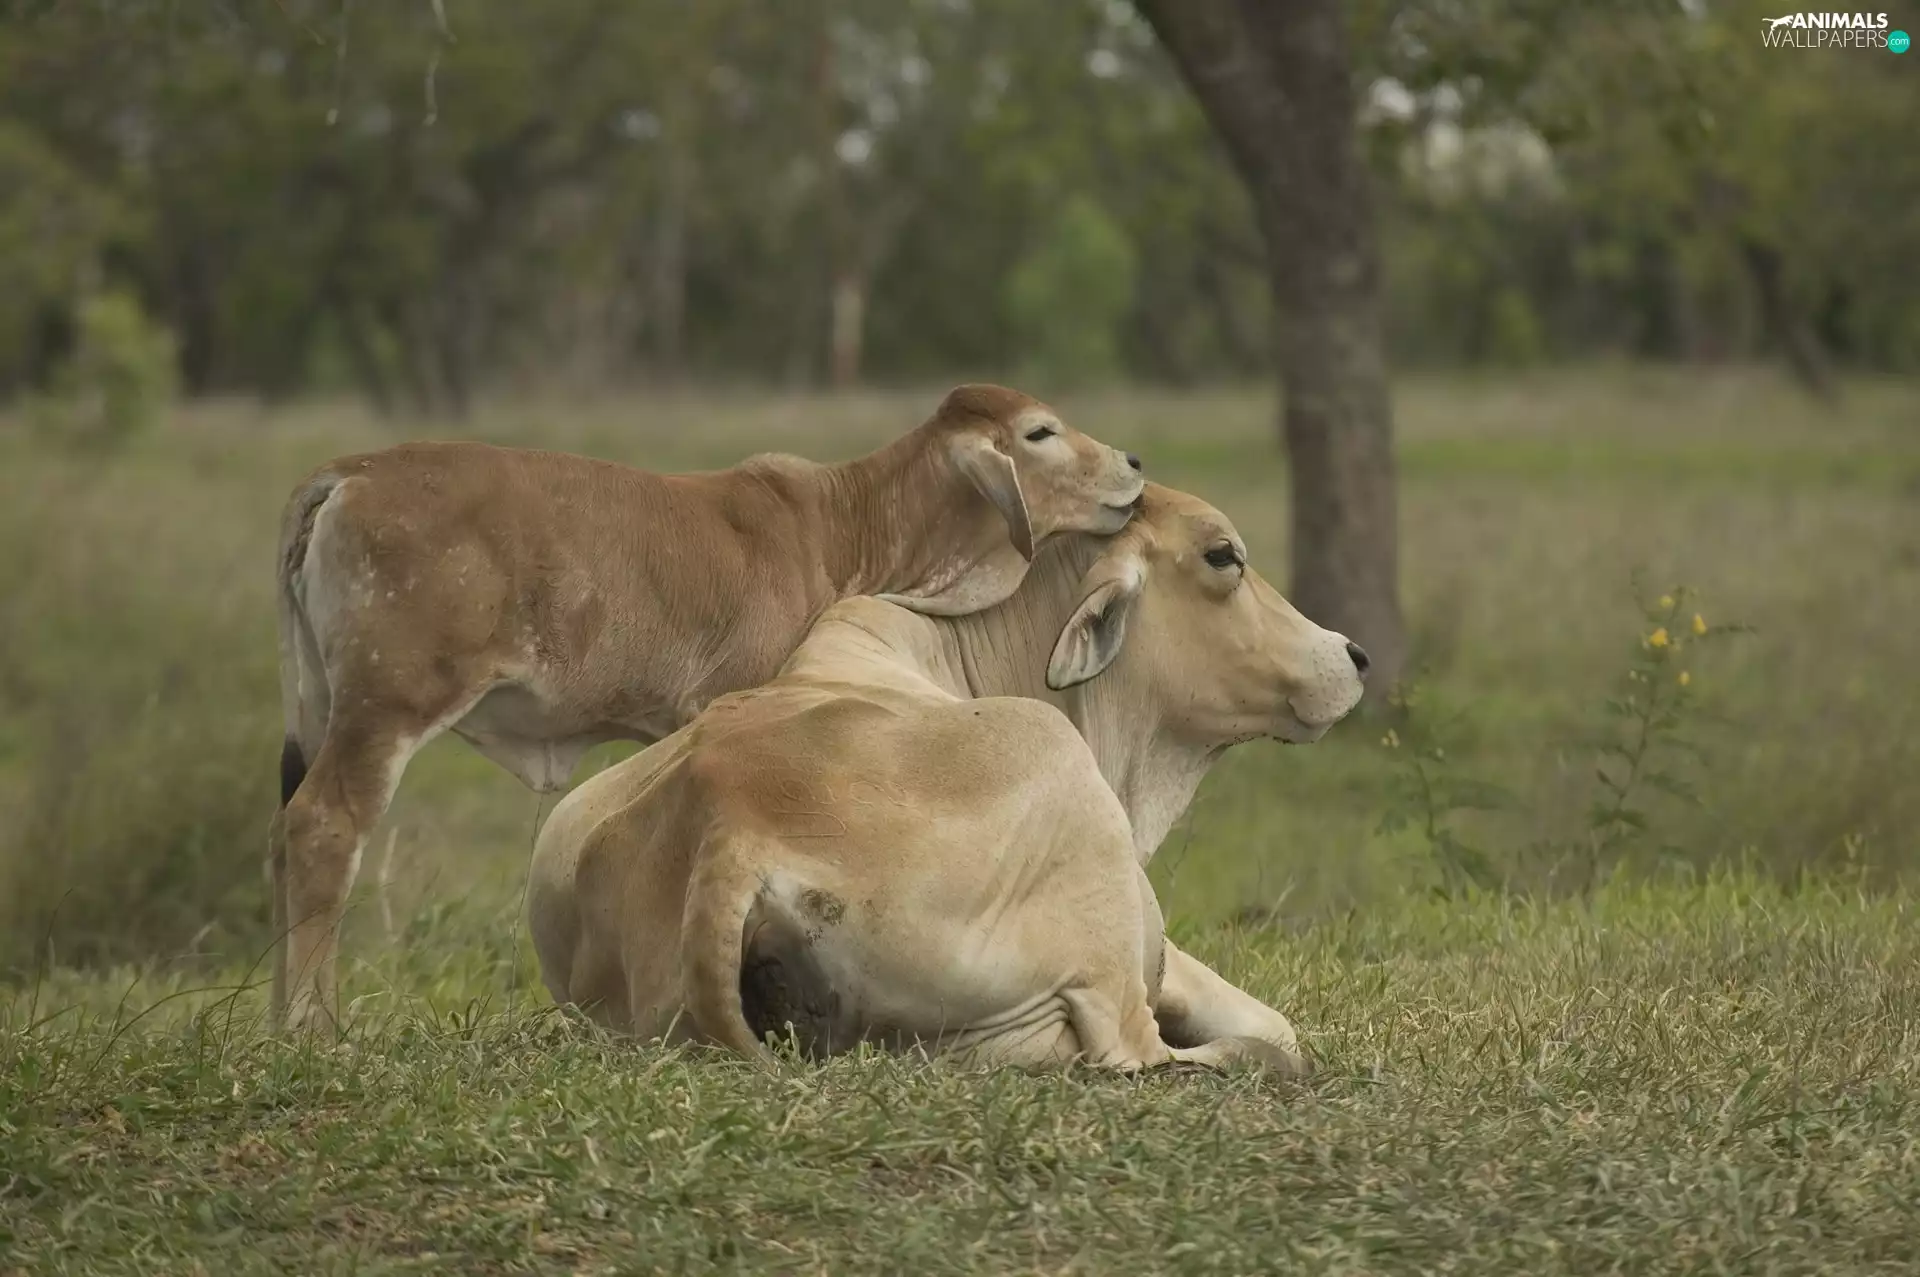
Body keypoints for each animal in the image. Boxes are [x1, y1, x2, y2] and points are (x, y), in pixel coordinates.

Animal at [270, 384, 1144, 1030]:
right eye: (1039, 431)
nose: (1133, 464)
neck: (844, 525)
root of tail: (345, 475)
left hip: (318, 706)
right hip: (387, 702)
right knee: (321, 827)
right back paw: (312, 1027)